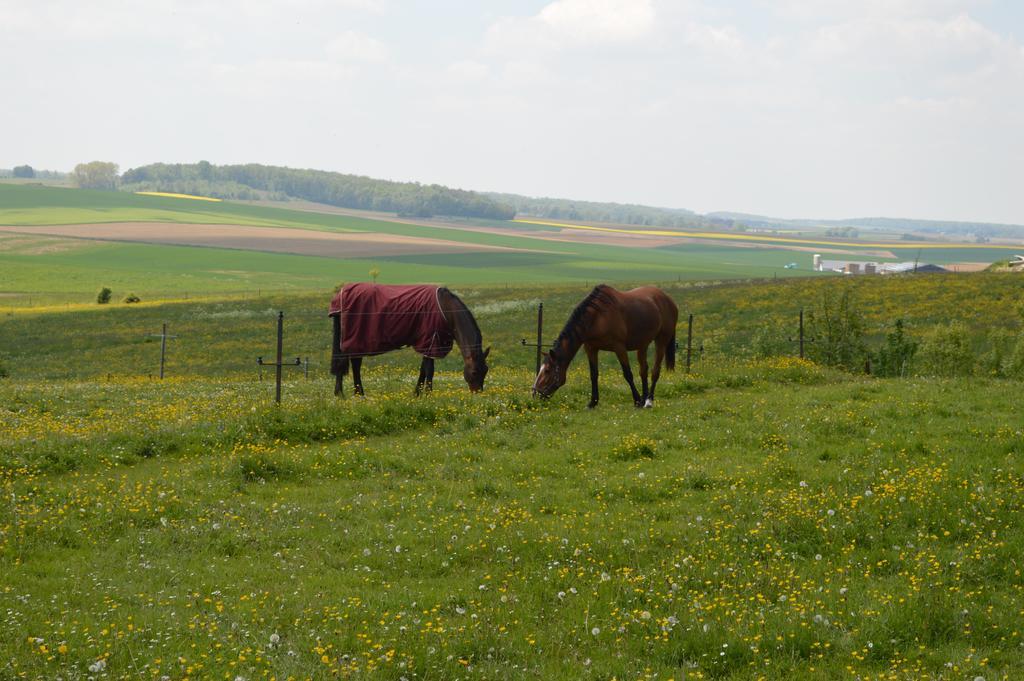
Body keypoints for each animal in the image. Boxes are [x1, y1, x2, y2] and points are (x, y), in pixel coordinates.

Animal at [327, 282, 487, 399]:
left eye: (486, 370)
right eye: (474, 372)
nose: (478, 393)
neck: (446, 310)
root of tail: (340, 294)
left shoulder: (428, 345)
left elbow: (423, 368)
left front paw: (417, 393)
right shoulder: (431, 341)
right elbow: (430, 370)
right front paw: (428, 394)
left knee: (353, 363)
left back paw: (354, 393)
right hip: (354, 339)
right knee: (350, 363)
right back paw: (346, 393)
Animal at [532, 284, 675, 405]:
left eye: (547, 370)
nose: (534, 393)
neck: (597, 317)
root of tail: (668, 299)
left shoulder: (619, 348)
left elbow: (627, 374)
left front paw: (637, 400)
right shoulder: (591, 348)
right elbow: (593, 374)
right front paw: (593, 402)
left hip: (661, 341)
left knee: (655, 371)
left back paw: (648, 400)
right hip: (643, 345)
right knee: (643, 370)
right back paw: (645, 398)